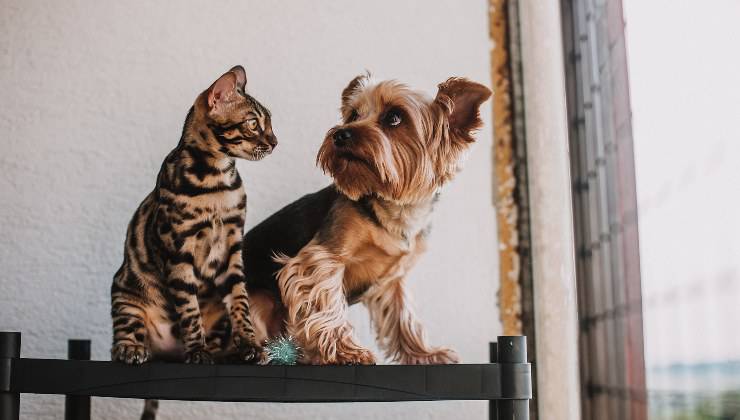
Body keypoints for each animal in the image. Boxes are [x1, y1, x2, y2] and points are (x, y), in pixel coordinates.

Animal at [108, 65, 274, 364]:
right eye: (253, 123)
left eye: (269, 123)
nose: (276, 142)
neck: (216, 181)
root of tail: (170, 352)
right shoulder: (179, 251)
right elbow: (188, 310)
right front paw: (197, 350)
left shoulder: (232, 246)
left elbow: (240, 302)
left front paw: (250, 344)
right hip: (125, 292)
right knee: (121, 337)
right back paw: (132, 348)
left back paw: (227, 352)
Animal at [243, 74, 494, 362]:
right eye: (353, 115)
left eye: (394, 117)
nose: (340, 133)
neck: (394, 209)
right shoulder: (323, 257)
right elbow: (327, 302)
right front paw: (346, 351)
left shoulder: (392, 282)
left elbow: (404, 317)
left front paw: (424, 353)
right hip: (259, 300)